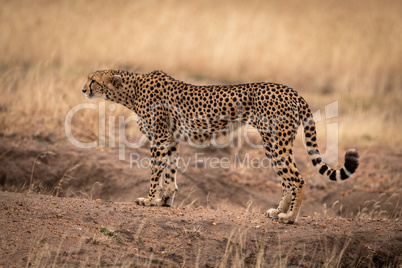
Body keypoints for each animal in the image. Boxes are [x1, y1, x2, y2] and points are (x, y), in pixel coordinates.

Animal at [81, 69, 358, 224]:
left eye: (93, 80)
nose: (83, 90)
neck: (131, 90)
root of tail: (291, 90)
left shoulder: (159, 139)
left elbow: (155, 172)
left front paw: (149, 199)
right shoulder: (171, 140)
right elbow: (169, 173)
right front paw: (164, 201)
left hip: (276, 141)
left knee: (297, 179)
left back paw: (289, 218)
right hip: (273, 143)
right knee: (288, 179)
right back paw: (278, 211)